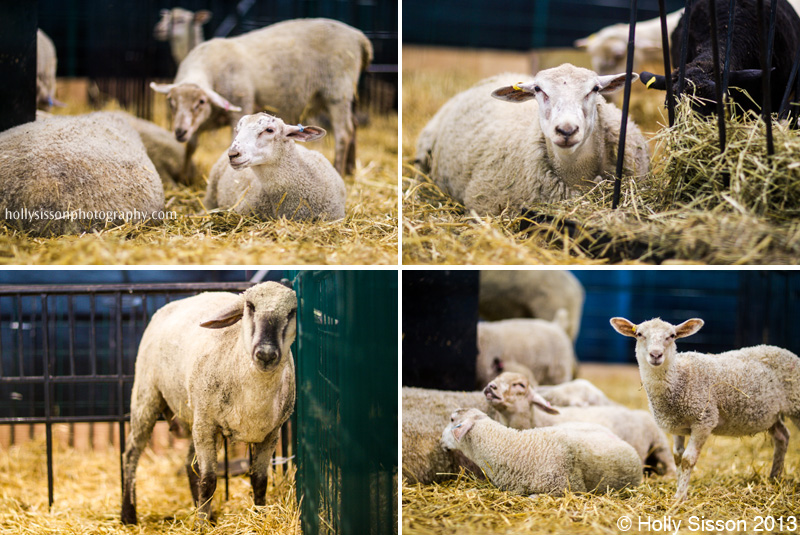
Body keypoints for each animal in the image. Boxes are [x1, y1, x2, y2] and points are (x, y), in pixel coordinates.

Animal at [121, 281, 297, 525]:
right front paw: (201, 526)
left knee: (189, 464)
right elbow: (208, 481)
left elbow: (259, 480)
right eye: (250, 307)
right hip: (147, 395)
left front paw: (260, 517)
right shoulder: (206, 425)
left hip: (193, 415)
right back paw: (128, 515)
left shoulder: (271, 434)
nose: (266, 354)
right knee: (131, 453)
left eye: (292, 312)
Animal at [151, 18, 373, 181]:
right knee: (353, 125)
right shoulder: (197, 124)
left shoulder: (241, 105)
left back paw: (339, 170)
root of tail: (360, 38)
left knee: (344, 133)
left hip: (337, 91)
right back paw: (351, 169)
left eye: (201, 102)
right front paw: (184, 177)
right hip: (328, 97)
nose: (179, 132)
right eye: (171, 102)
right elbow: (190, 147)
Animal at [485, 372, 676, 476]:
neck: (535, 419)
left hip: (660, 443)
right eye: (497, 377)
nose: (490, 387)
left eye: (520, 385)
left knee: (671, 466)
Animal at [610, 316, 800, 501]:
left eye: (672, 336)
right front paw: (680, 491)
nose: (656, 354)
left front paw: (680, 497)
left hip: (795, 404)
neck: (678, 378)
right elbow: (678, 457)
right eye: (639, 334)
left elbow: (687, 459)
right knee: (782, 436)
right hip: (771, 415)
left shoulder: (704, 421)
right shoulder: (676, 425)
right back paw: (774, 477)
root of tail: (783, 350)